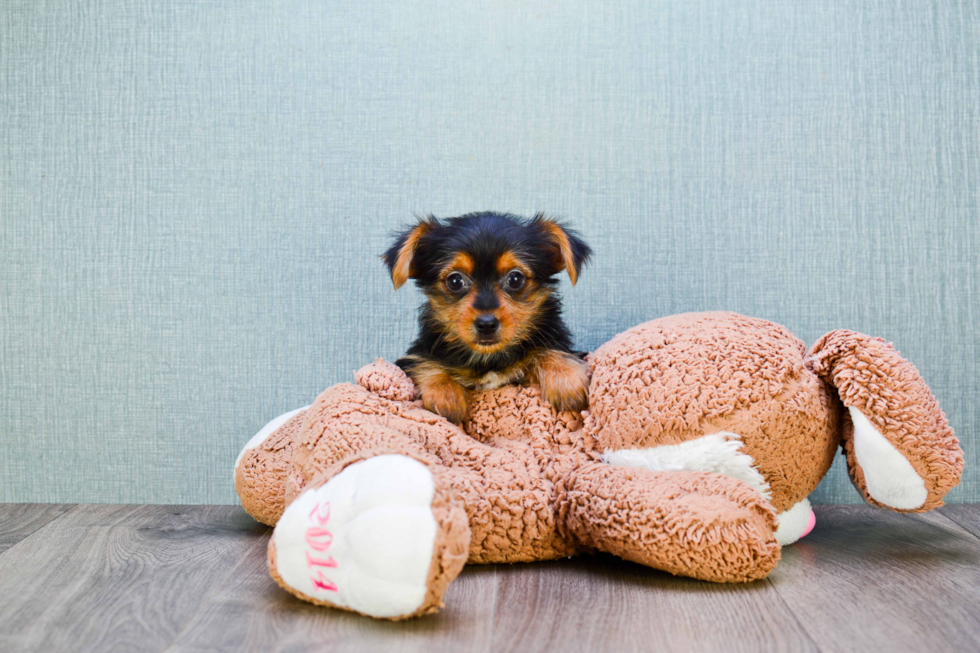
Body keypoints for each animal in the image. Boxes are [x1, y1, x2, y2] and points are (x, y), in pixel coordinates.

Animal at [384, 210, 592, 422]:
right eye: (455, 281)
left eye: (515, 279)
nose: (486, 324)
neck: (489, 358)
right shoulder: (411, 357)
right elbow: (423, 363)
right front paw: (445, 394)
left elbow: (549, 350)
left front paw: (564, 379)